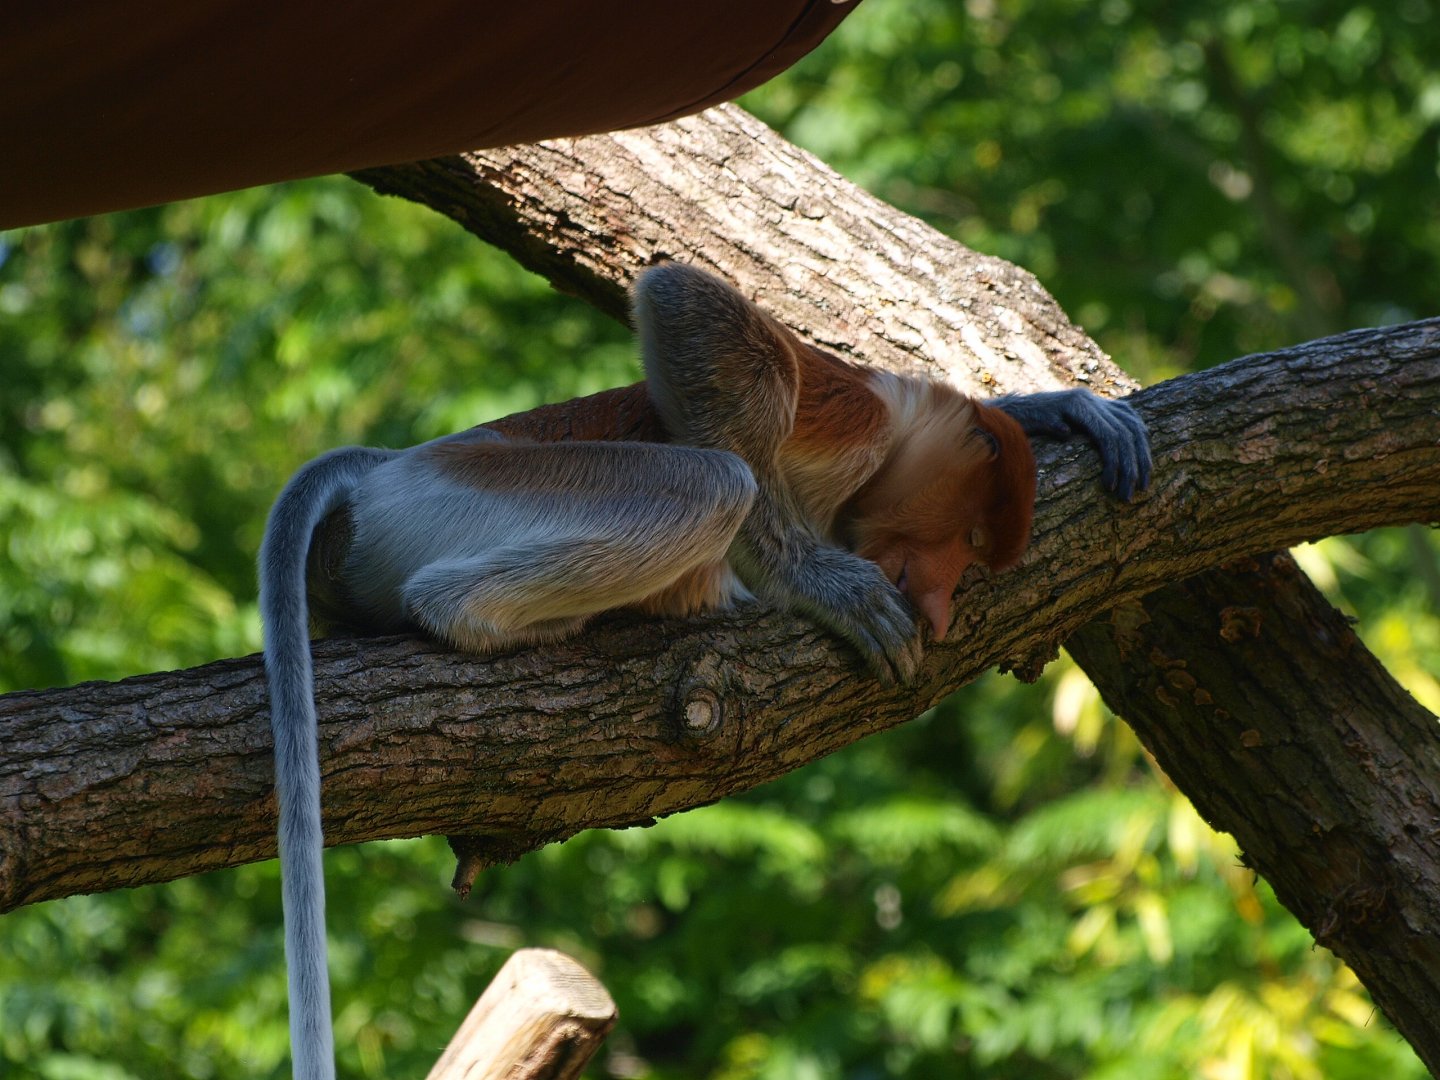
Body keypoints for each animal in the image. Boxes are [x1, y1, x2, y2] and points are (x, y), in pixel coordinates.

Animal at [259, 262, 1150, 1080]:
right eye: (967, 537)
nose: (935, 600)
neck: (894, 442)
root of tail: (387, 468)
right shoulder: (856, 408)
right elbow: (687, 306)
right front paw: (825, 584)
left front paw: (1071, 409)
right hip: (477, 491)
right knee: (716, 480)